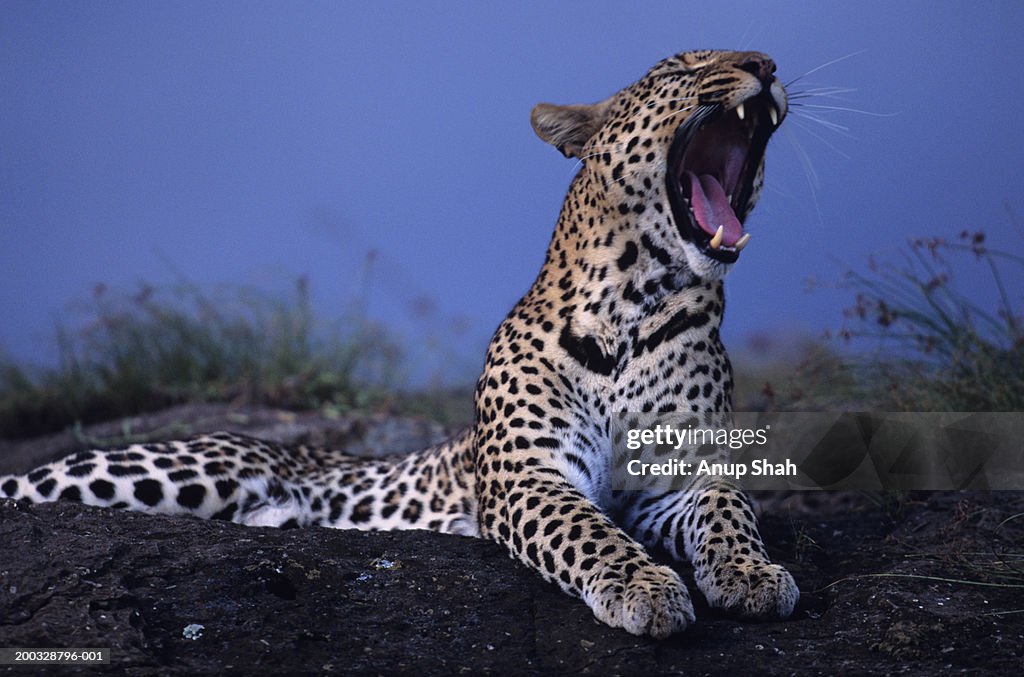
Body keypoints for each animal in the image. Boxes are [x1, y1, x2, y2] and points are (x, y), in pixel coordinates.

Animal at [0, 50, 798, 635]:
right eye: (680, 69)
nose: (764, 62)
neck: (638, 300)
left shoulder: (682, 478)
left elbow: (729, 511)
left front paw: (753, 575)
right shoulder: (529, 476)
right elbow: (586, 530)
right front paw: (644, 586)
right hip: (165, 471)